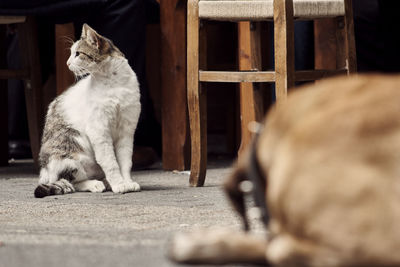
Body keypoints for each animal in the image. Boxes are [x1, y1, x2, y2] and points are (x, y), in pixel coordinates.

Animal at [34, 23, 141, 199]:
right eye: (71, 53)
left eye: (78, 53)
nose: (67, 63)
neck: (113, 82)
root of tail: (44, 173)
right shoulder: (99, 130)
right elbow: (111, 162)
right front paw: (119, 184)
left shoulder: (126, 130)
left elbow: (125, 161)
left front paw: (127, 181)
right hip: (71, 158)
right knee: (71, 181)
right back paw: (95, 184)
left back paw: (105, 182)